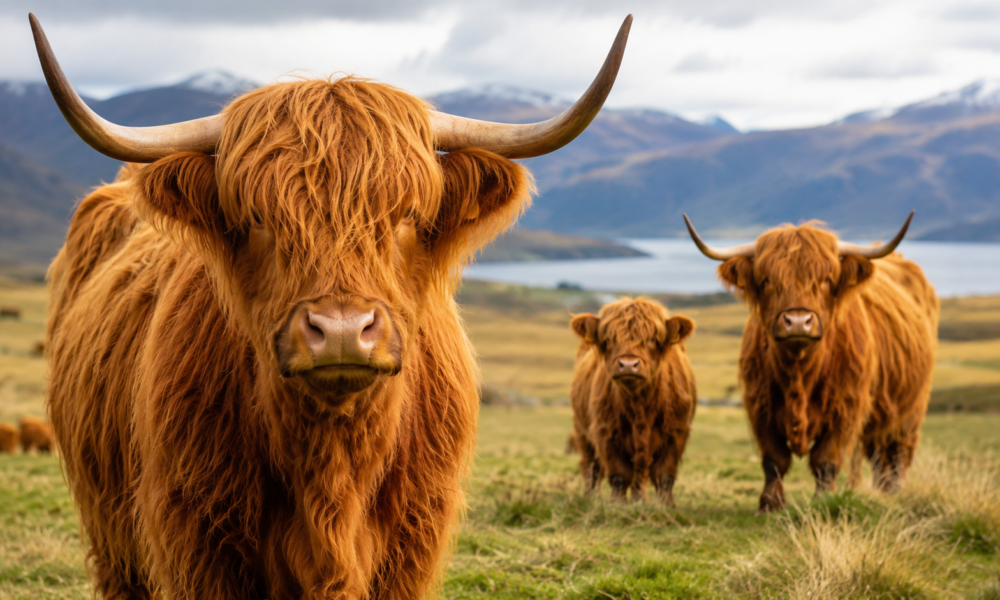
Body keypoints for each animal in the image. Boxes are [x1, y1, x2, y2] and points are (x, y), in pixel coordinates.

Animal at [32, 12, 631, 600]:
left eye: (408, 215)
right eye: (258, 219)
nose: (342, 330)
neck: (333, 468)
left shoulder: (411, 545)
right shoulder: (195, 540)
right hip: (111, 535)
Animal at [569, 298, 697, 506]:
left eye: (653, 339)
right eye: (608, 339)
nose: (628, 365)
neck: (639, 406)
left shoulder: (677, 432)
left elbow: (664, 475)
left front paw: (665, 505)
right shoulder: (605, 431)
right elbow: (619, 475)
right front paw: (618, 504)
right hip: (582, 430)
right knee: (591, 467)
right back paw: (591, 497)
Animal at [685, 213, 938, 513]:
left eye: (827, 279)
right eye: (766, 279)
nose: (797, 322)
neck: (799, 372)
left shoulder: (847, 408)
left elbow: (825, 461)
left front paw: (823, 502)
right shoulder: (759, 405)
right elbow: (774, 460)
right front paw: (769, 505)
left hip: (911, 406)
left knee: (899, 449)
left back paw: (895, 492)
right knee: (878, 453)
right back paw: (883, 491)